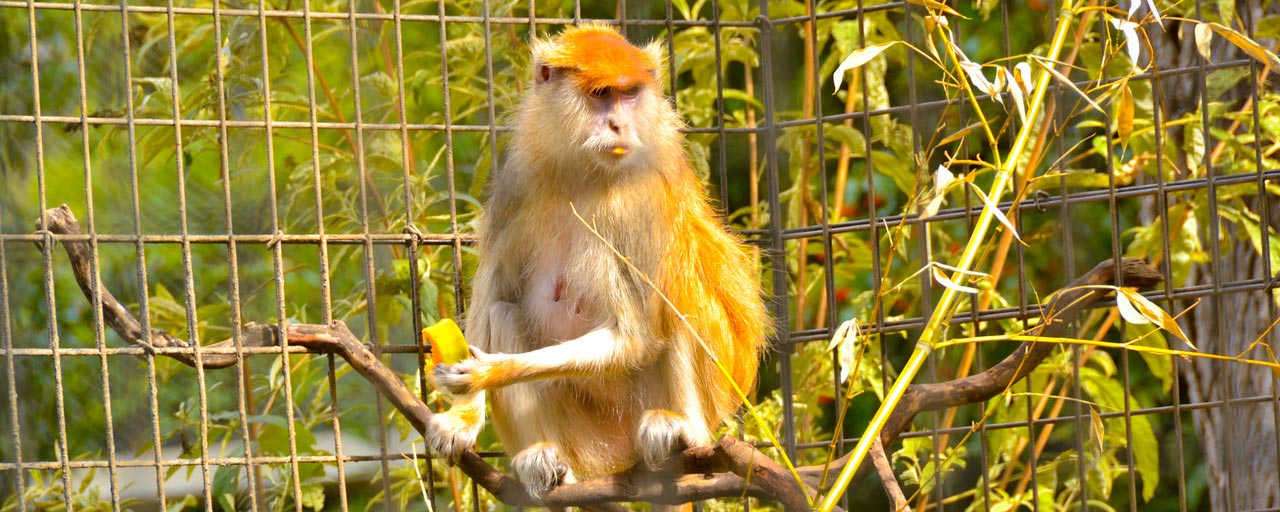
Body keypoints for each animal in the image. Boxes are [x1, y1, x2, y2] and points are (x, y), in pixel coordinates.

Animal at [425, 23, 769, 501]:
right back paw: (545, 463)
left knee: (676, 295)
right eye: (602, 94)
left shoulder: (636, 203)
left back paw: (684, 434)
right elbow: (493, 293)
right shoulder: (517, 184)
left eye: (630, 94)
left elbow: (636, 337)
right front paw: (462, 417)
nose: (619, 124)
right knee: (503, 312)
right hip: (585, 436)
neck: (582, 173)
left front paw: (488, 371)